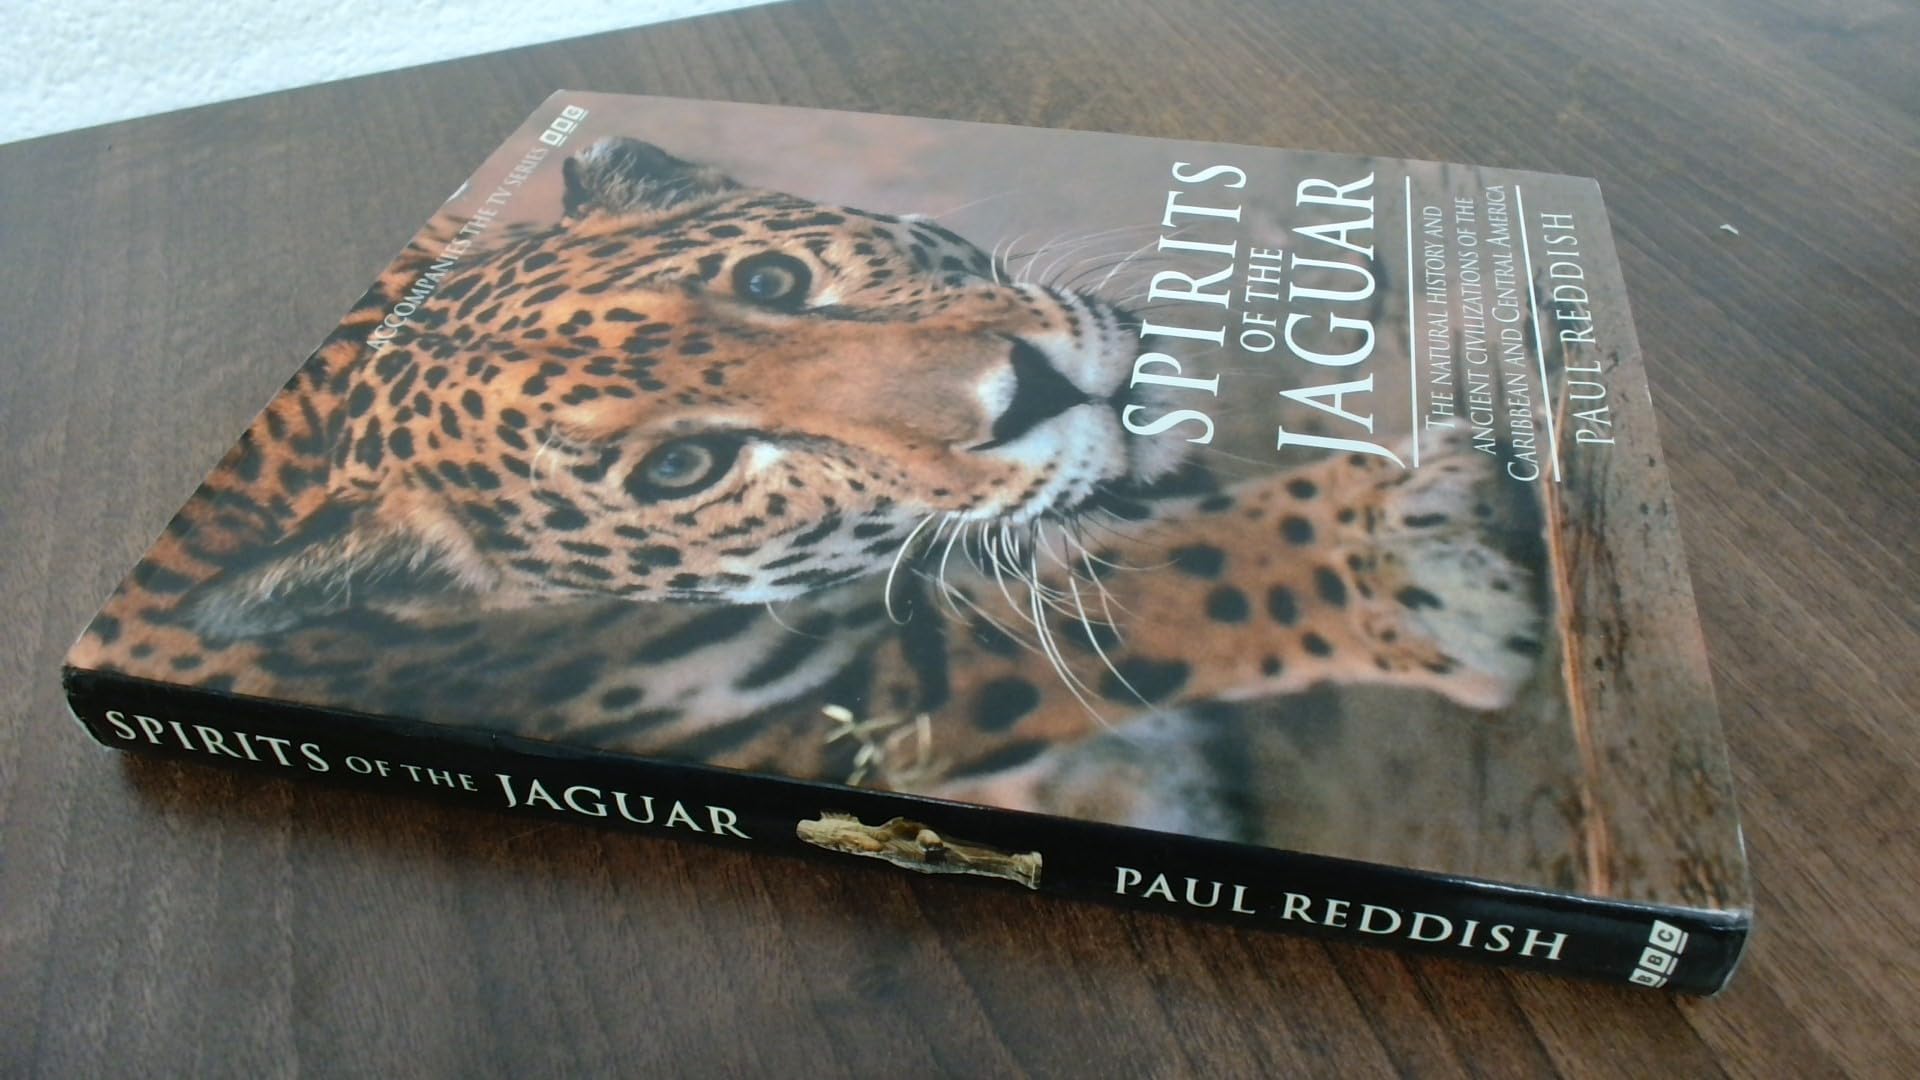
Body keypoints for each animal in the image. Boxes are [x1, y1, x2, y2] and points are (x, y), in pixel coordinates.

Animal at [69, 135, 1549, 843]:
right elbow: (1151, 607)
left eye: (774, 281)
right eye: (683, 468)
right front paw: (1397, 557)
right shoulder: (849, 725)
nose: (1026, 392)